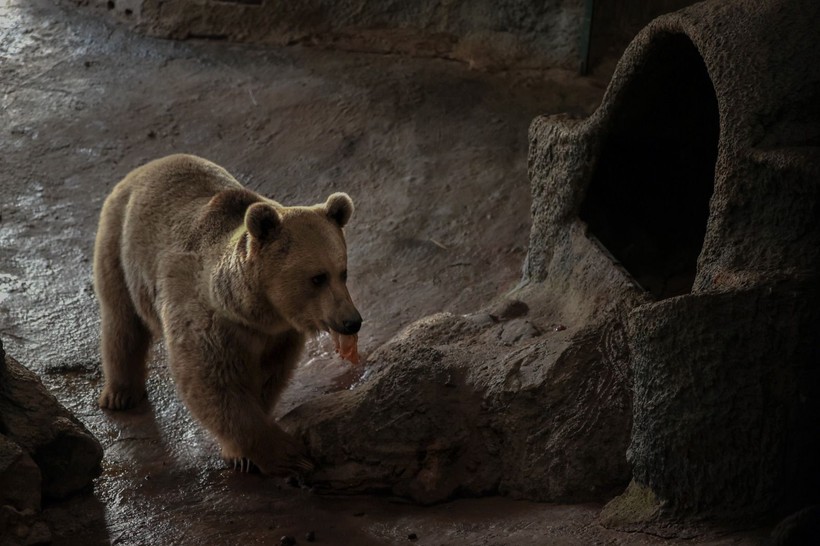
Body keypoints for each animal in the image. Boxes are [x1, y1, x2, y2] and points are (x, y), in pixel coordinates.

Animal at [91, 152, 360, 472]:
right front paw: (287, 454)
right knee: (122, 320)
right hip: (119, 244)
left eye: (343, 273)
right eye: (318, 278)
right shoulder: (207, 321)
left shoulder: (278, 336)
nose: (352, 321)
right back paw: (120, 394)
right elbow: (213, 383)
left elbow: (268, 377)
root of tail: (151, 164)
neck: (255, 310)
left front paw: (243, 452)